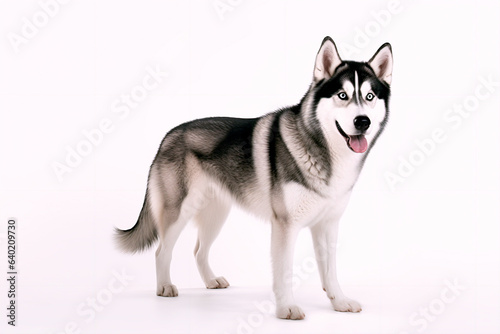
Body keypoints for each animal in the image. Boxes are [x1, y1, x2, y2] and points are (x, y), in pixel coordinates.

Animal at [115, 36, 392, 318]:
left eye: (369, 96)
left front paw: (339, 302)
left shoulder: (328, 224)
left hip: (216, 215)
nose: (362, 121)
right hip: (179, 211)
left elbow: (331, 271)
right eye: (342, 95)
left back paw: (211, 281)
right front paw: (287, 308)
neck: (324, 152)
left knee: (199, 251)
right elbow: (284, 271)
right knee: (162, 251)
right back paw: (165, 287)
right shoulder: (285, 225)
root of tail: (169, 135)